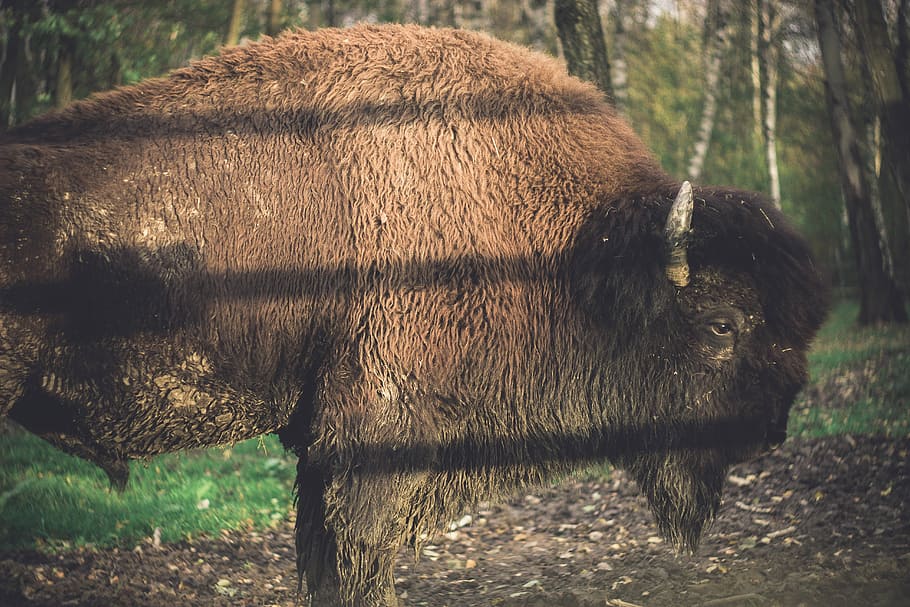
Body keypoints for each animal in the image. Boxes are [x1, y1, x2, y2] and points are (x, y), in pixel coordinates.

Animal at [0, 25, 828, 606]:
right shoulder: (375, 441)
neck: (569, 246)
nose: (771, 427)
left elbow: (324, 563)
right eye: (722, 323)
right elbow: (359, 560)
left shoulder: (322, 452)